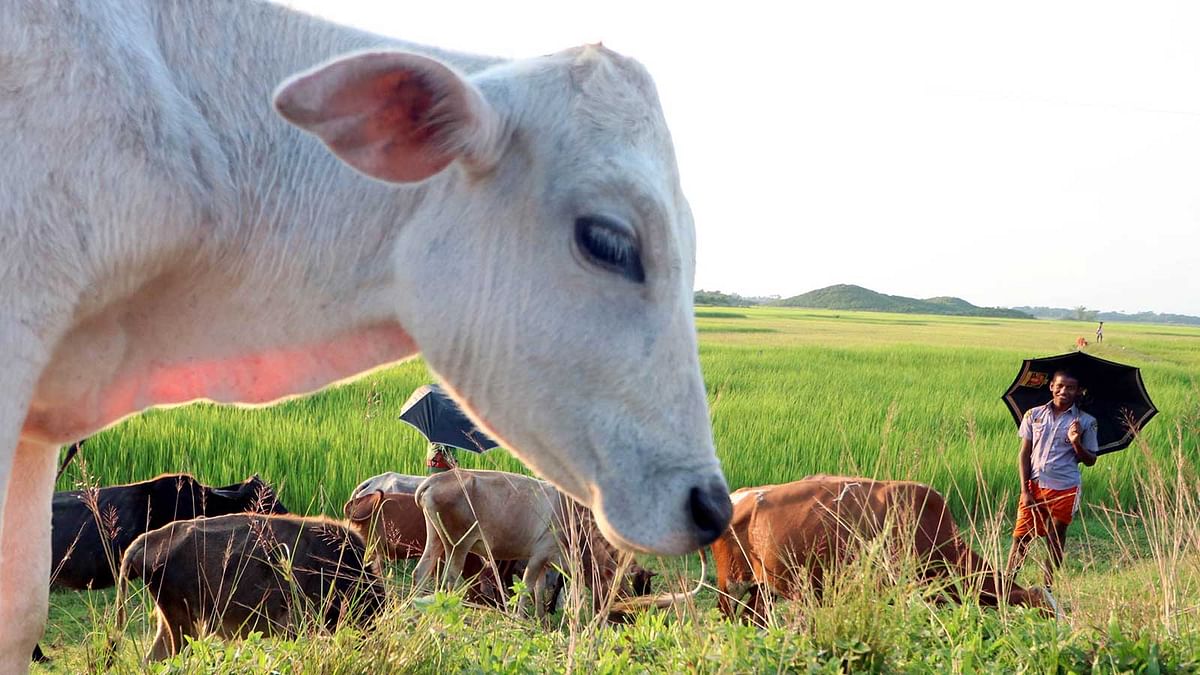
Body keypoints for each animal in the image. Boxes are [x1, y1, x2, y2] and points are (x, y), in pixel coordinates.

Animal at [412, 468, 657, 614]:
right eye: (623, 592)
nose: (631, 618)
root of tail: (437, 479)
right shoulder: (539, 556)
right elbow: (526, 587)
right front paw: (520, 617)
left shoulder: (548, 564)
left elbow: (539, 592)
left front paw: (540, 619)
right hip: (458, 544)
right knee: (450, 577)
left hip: (436, 538)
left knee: (421, 571)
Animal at [705, 475, 1056, 624]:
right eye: (1049, 613)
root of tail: (737, 496)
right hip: (731, 584)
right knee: (727, 618)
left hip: (764, 587)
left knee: (754, 620)